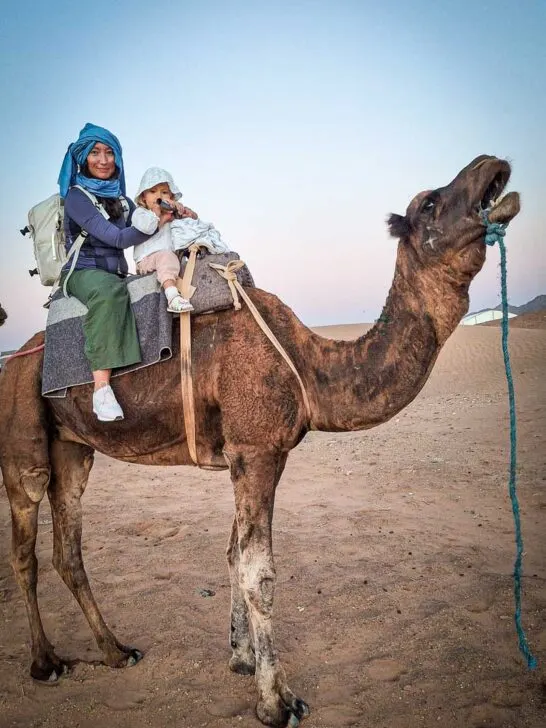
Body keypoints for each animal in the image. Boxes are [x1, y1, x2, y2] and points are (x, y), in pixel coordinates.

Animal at [0, 155, 520, 727]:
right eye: (429, 202)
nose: (490, 164)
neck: (311, 365)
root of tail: (16, 357)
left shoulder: (256, 453)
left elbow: (233, 555)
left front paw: (242, 659)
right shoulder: (254, 451)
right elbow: (258, 573)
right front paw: (277, 701)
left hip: (72, 446)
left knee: (68, 546)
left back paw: (116, 651)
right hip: (22, 429)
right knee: (25, 544)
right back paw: (46, 663)